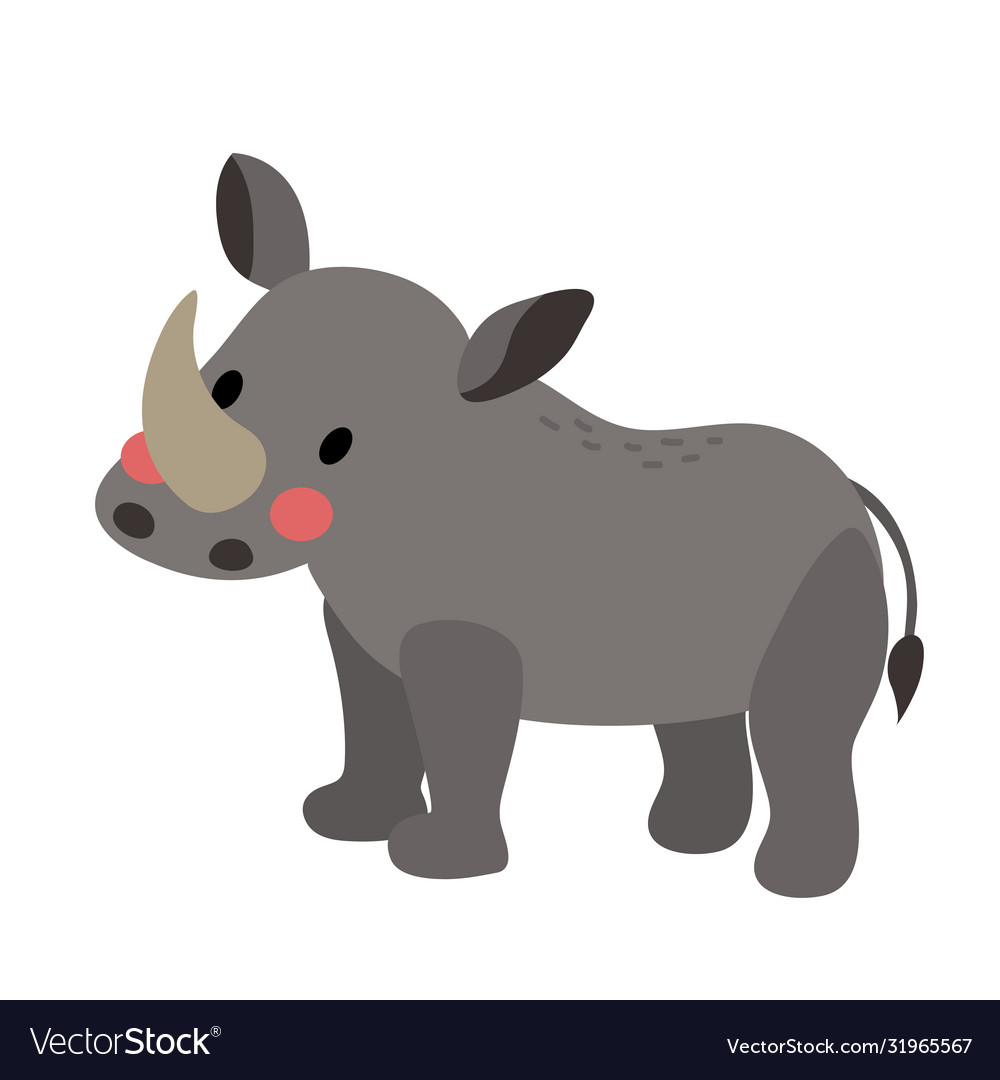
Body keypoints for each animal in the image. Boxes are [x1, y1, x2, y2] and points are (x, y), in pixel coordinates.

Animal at [96, 154, 923, 896]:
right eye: (224, 385)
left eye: (338, 449)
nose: (139, 518)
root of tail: (849, 489)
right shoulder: (356, 621)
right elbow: (370, 715)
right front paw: (341, 822)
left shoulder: (462, 635)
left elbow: (463, 736)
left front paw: (434, 864)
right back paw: (685, 844)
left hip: (832, 562)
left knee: (800, 725)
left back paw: (791, 884)